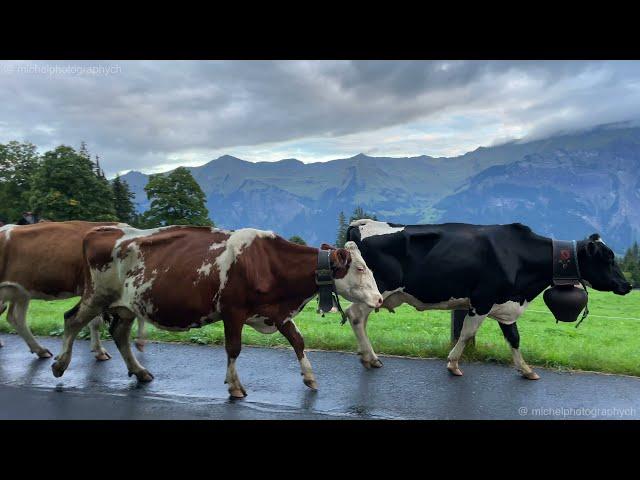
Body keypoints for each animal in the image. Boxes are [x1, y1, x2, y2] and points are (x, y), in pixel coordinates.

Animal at [0, 219, 146, 358]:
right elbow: (95, 322)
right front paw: (99, 350)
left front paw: (140, 341)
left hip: (21, 292)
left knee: (16, 318)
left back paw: (40, 350)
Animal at [52, 225, 382, 398]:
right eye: (360, 268)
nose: (379, 299)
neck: (267, 262)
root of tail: (102, 229)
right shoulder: (233, 310)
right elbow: (233, 348)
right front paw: (234, 386)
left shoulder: (277, 312)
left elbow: (298, 342)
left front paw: (310, 378)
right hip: (96, 295)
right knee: (72, 320)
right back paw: (59, 364)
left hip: (128, 305)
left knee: (119, 333)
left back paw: (140, 371)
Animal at [344, 219, 632, 380]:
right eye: (607, 258)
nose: (627, 285)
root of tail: (362, 223)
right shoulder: (482, 301)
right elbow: (466, 333)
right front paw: (453, 364)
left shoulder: (507, 305)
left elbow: (514, 338)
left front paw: (526, 370)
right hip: (378, 289)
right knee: (355, 315)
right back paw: (371, 358)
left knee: (359, 319)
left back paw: (367, 355)